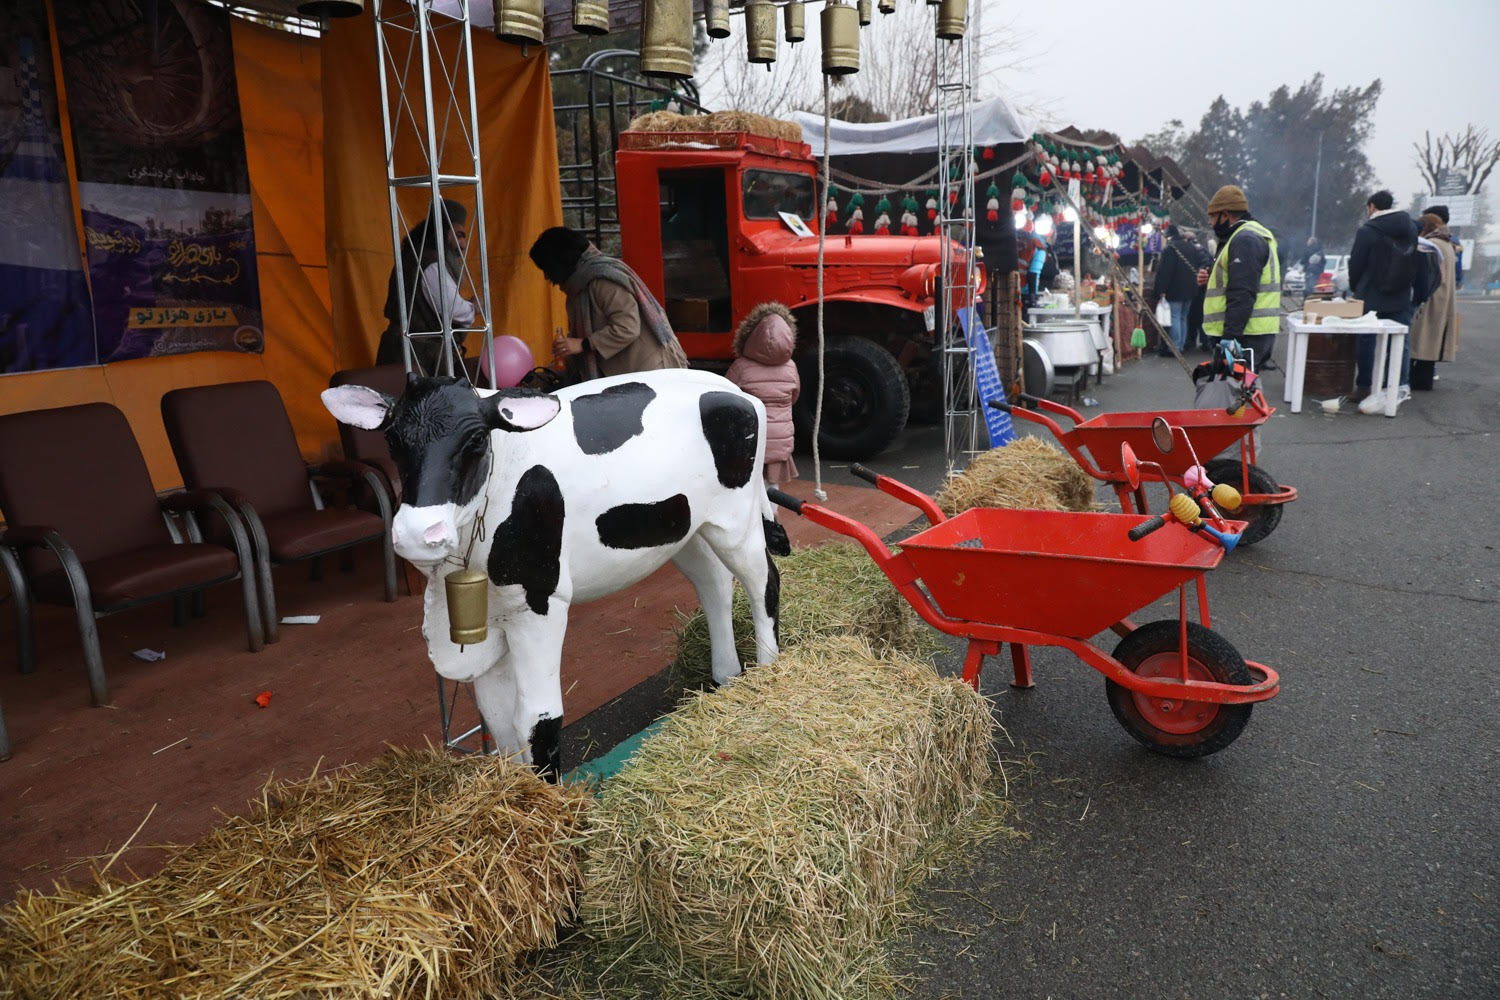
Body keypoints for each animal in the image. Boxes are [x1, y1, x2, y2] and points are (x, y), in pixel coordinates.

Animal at [325, 370, 786, 779]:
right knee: (714, 585)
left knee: (763, 581)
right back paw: (726, 678)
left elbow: (536, 717)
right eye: (392, 439)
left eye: (476, 439)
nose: (419, 533)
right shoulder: (491, 616)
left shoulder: (539, 602)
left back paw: (767, 674)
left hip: (736, 521)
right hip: (686, 529)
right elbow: (498, 717)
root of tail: (732, 388)